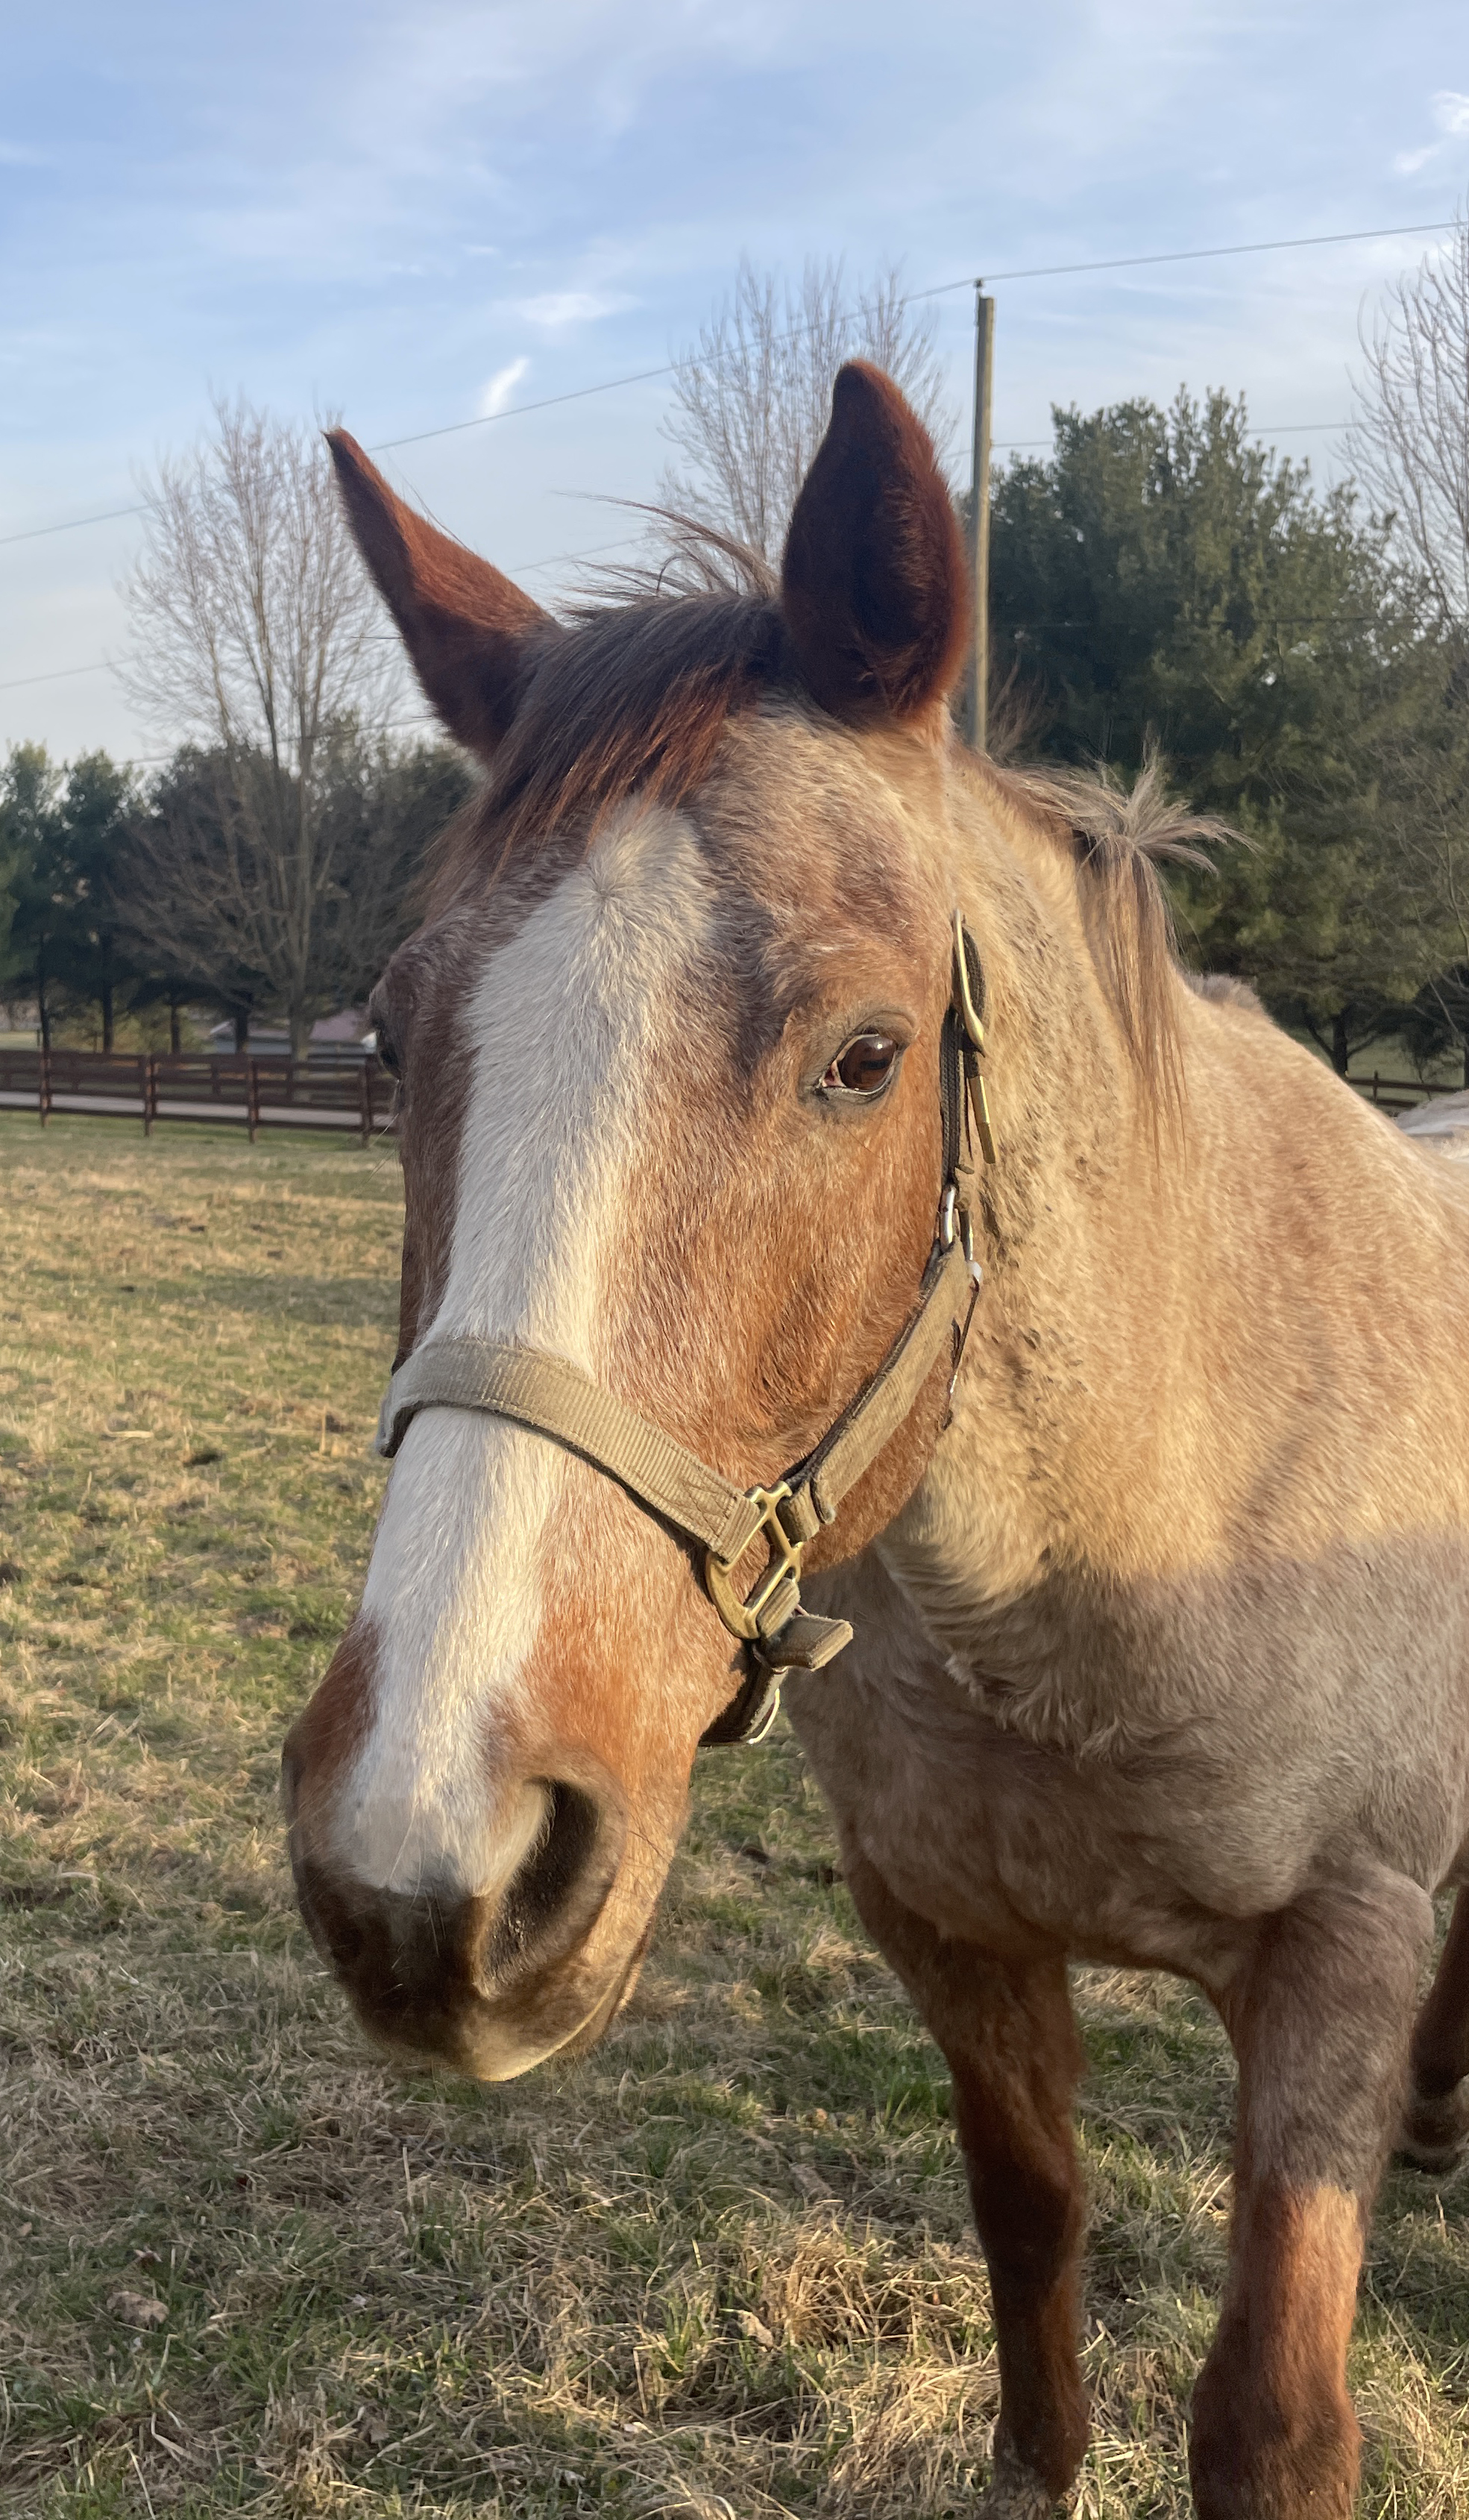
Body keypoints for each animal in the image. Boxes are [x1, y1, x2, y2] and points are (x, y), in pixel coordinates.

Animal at [282, 360, 1469, 2520]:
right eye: (397, 1038)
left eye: (863, 1054)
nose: (424, 1859)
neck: (1125, 1553)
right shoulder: (946, 1926)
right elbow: (1030, 2234)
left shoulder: (1333, 1950)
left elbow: (1271, 2416)